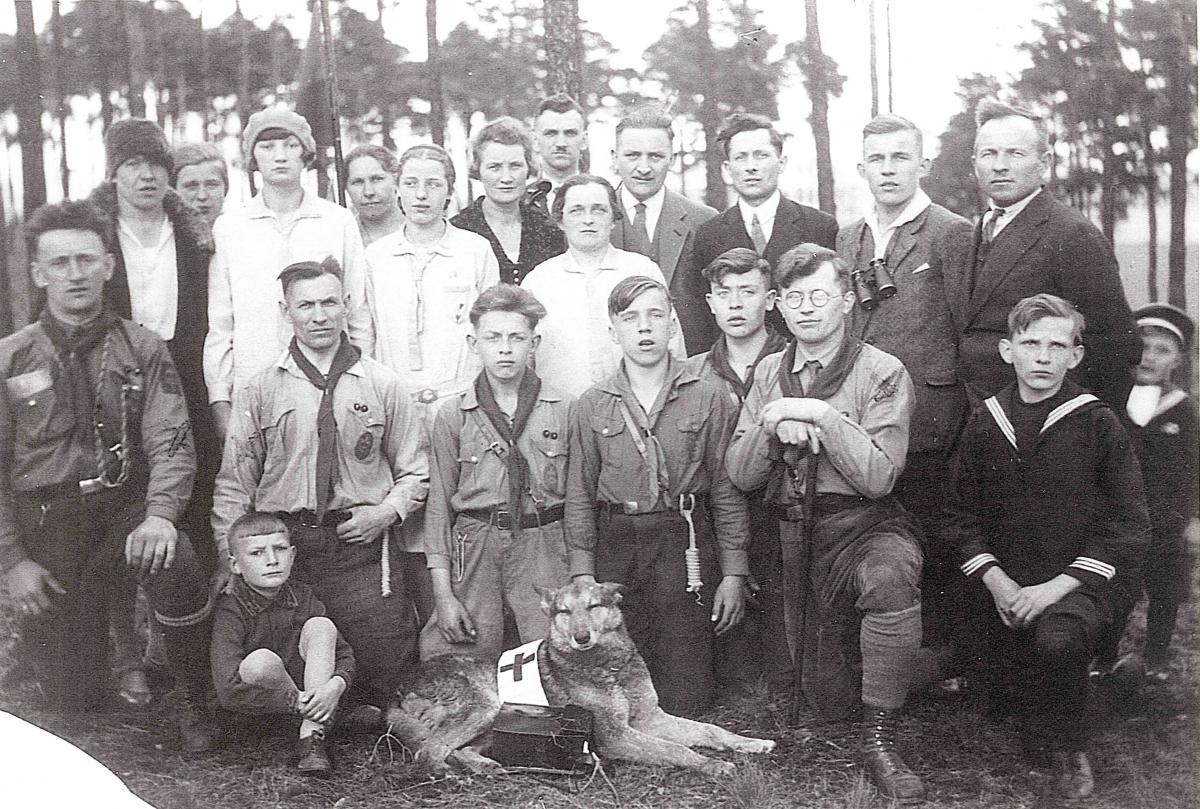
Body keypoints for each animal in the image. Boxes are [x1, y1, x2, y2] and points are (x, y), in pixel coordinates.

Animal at [386, 576, 777, 772]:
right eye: (564, 611)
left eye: (594, 606)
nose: (582, 637)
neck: (611, 667)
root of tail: (399, 686)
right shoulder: (615, 736)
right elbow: (674, 749)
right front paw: (712, 765)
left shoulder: (651, 718)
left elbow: (711, 730)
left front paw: (751, 743)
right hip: (484, 706)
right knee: (429, 751)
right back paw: (453, 776)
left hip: (494, 720)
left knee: (461, 750)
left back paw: (484, 767)